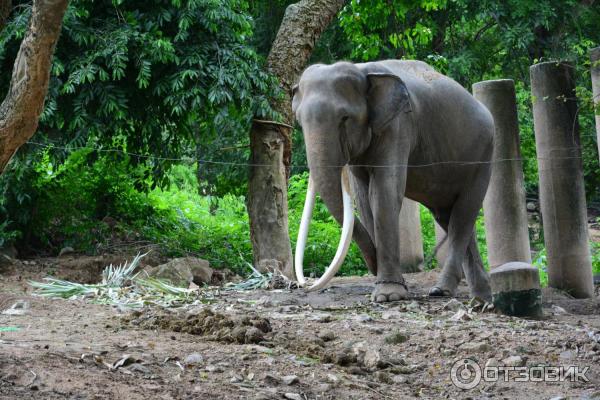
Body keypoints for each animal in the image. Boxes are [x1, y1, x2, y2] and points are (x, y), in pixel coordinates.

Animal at [290, 59, 492, 304]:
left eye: (345, 118)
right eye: (300, 122)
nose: (301, 285)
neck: (362, 71)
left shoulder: (398, 125)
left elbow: (384, 191)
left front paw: (388, 295)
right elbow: (364, 198)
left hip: (482, 156)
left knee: (464, 213)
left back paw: (443, 291)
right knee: (449, 217)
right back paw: (480, 297)